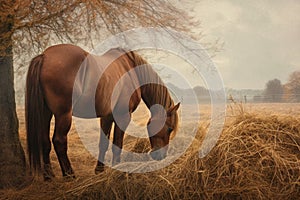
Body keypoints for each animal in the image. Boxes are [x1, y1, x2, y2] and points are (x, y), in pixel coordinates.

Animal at [25, 43, 179, 180]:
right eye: (170, 129)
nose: (160, 156)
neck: (131, 69)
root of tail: (45, 56)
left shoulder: (107, 116)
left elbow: (103, 144)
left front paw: (99, 170)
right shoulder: (123, 116)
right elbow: (117, 143)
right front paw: (118, 168)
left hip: (46, 113)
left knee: (44, 141)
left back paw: (48, 176)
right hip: (63, 115)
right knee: (59, 141)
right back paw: (69, 175)